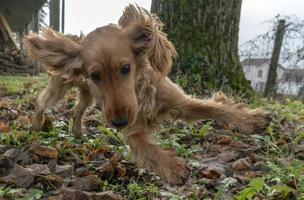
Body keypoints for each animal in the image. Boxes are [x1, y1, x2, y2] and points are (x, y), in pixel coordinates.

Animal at [25, 4, 270, 184]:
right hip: (61, 89)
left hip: (88, 95)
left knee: (77, 111)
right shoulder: (133, 133)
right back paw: (36, 123)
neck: (141, 92)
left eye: (126, 68)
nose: (119, 122)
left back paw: (77, 132)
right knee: (41, 101)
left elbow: (215, 108)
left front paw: (250, 119)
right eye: (95, 75)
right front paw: (173, 168)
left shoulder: (181, 102)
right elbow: (150, 150)